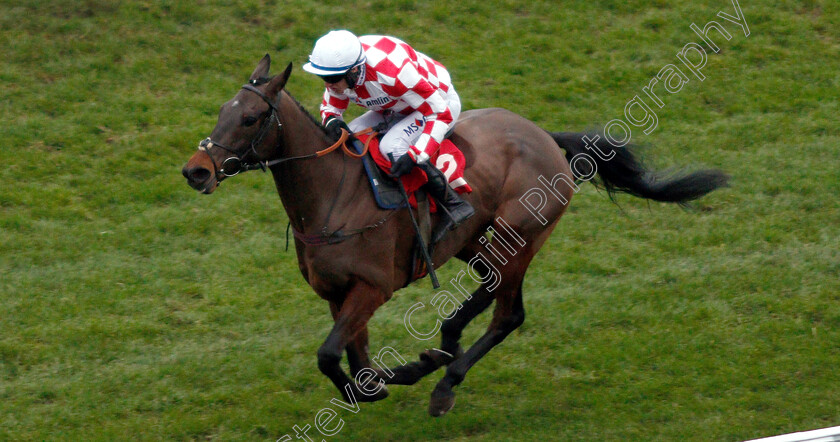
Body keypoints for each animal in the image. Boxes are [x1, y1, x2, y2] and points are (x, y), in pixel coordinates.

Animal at [182, 55, 728, 418]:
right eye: (221, 112)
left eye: (250, 118)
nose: (196, 171)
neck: (333, 195)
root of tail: (546, 138)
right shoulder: (337, 293)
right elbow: (353, 354)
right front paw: (383, 379)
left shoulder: (373, 287)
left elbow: (330, 354)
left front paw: (381, 385)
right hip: (476, 242)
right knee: (490, 296)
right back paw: (437, 352)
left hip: (518, 235)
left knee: (507, 313)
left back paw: (446, 379)